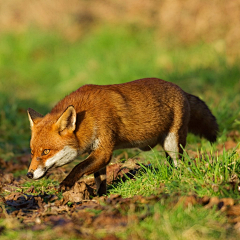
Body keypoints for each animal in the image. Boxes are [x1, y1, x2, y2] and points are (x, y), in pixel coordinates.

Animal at [26, 79, 218, 195]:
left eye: (46, 152)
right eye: (32, 152)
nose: (29, 174)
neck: (89, 117)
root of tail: (182, 90)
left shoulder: (104, 149)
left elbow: (78, 167)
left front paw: (66, 183)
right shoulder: (98, 153)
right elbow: (99, 178)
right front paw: (100, 196)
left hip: (173, 145)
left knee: (181, 164)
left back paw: (177, 178)